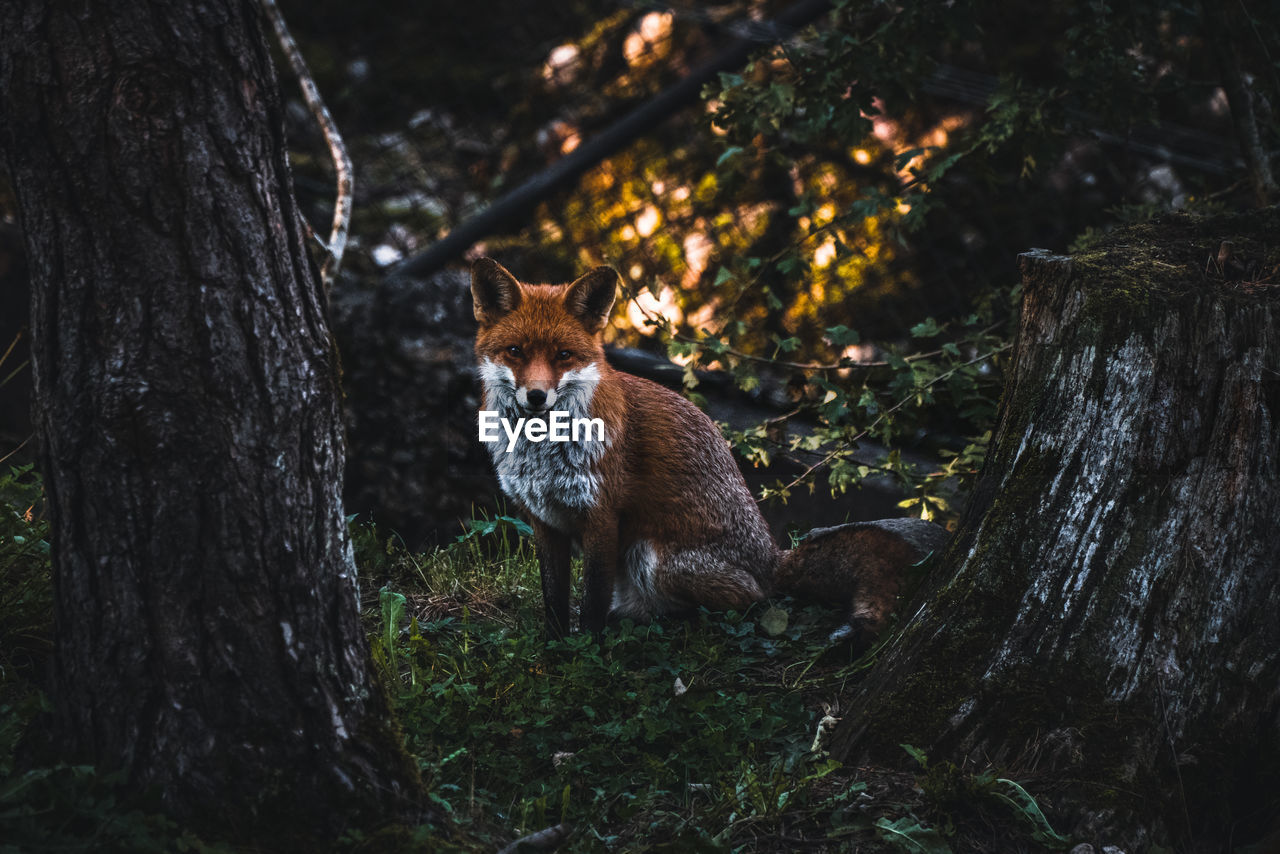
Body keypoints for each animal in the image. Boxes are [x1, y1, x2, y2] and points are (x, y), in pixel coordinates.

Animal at [471, 257, 952, 645]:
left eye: (563, 355)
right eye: (515, 351)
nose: (536, 397)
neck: (541, 455)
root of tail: (772, 557)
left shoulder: (602, 516)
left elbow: (590, 602)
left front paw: (587, 651)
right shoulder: (543, 519)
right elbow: (553, 598)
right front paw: (552, 647)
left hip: (653, 559)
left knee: (753, 601)